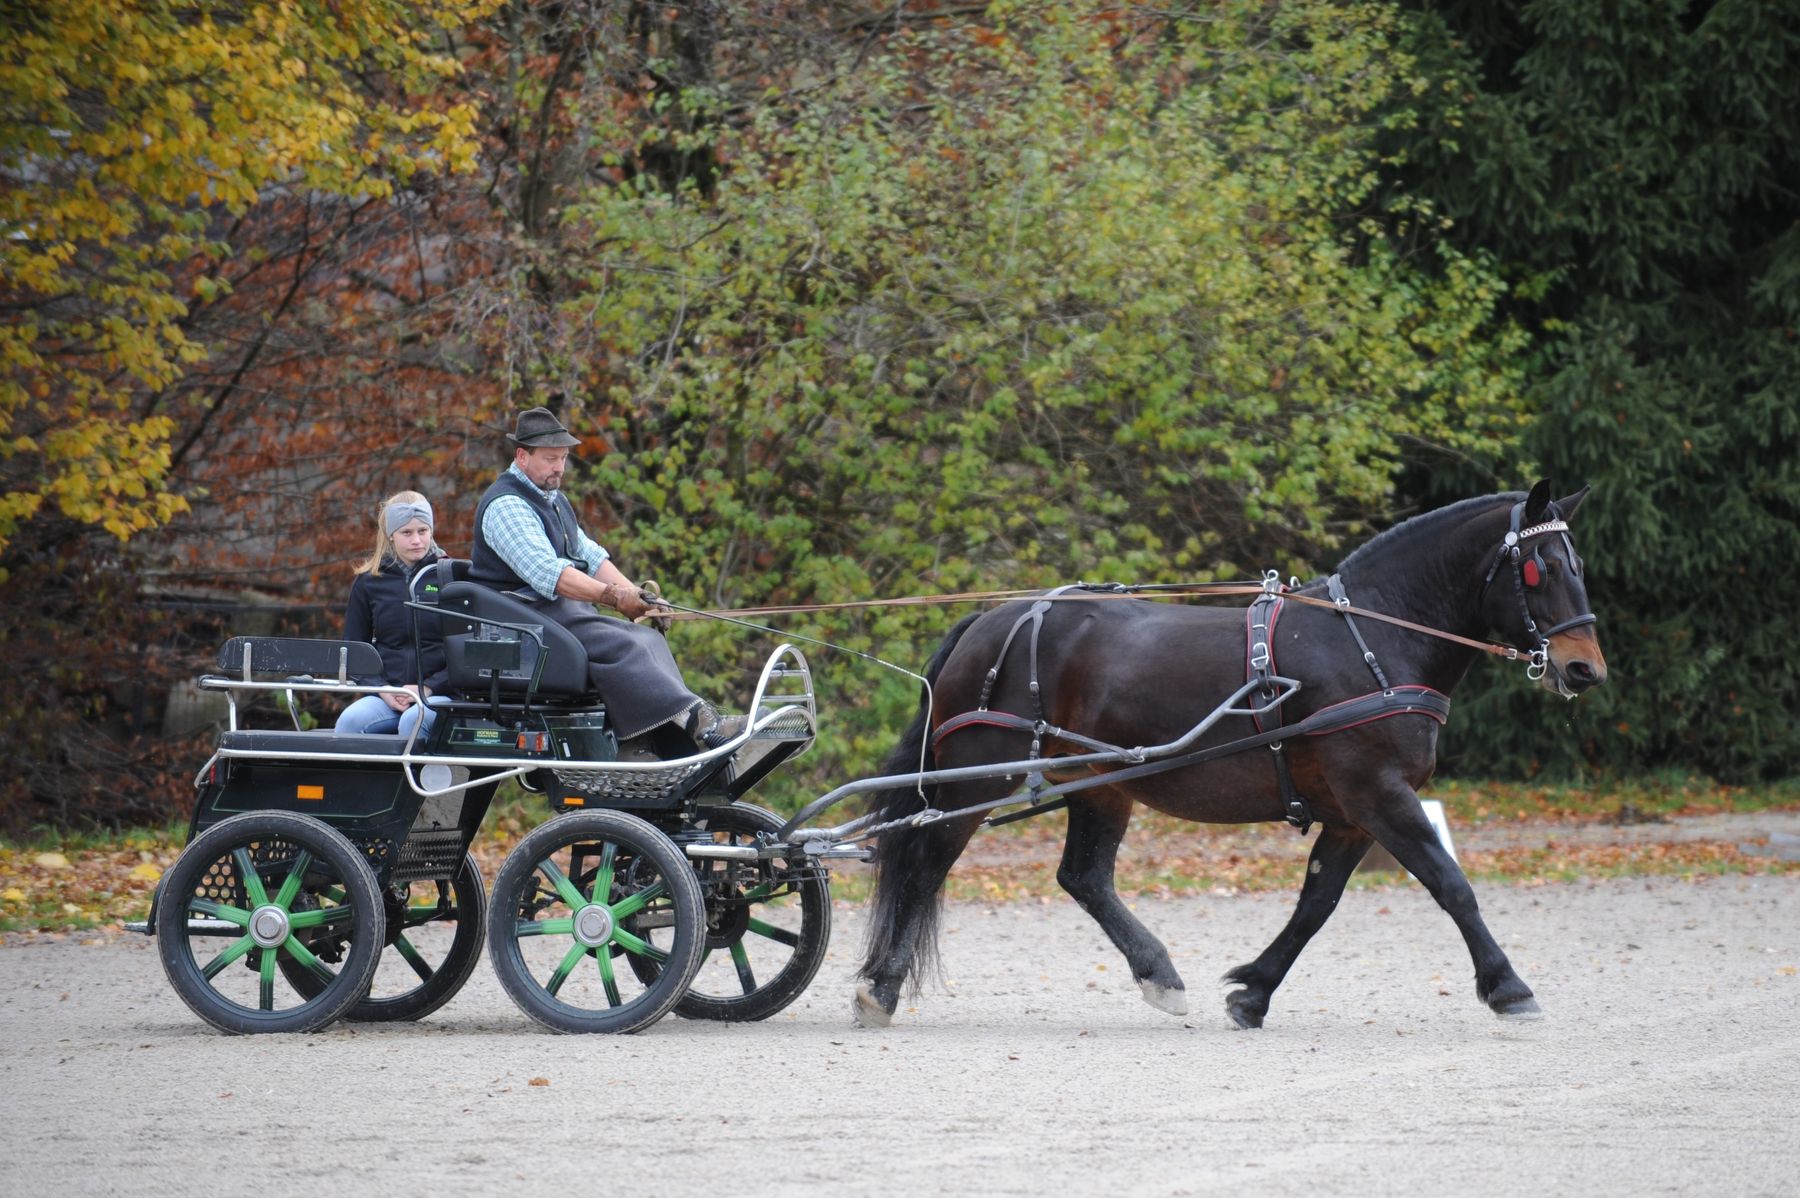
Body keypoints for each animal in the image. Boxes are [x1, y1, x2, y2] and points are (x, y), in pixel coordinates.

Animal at [853, 482, 1605, 1021]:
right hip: (976, 776)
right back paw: (880, 987)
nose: (1584, 668)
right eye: (1539, 568)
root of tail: (993, 618)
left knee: (1083, 878)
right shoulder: (1380, 794)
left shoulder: (1352, 813)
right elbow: (1451, 885)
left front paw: (1253, 992)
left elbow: (1316, 903)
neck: (1371, 639)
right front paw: (1508, 987)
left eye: (1579, 565)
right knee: (925, 862)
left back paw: (1158, 973)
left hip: (1100, 781)